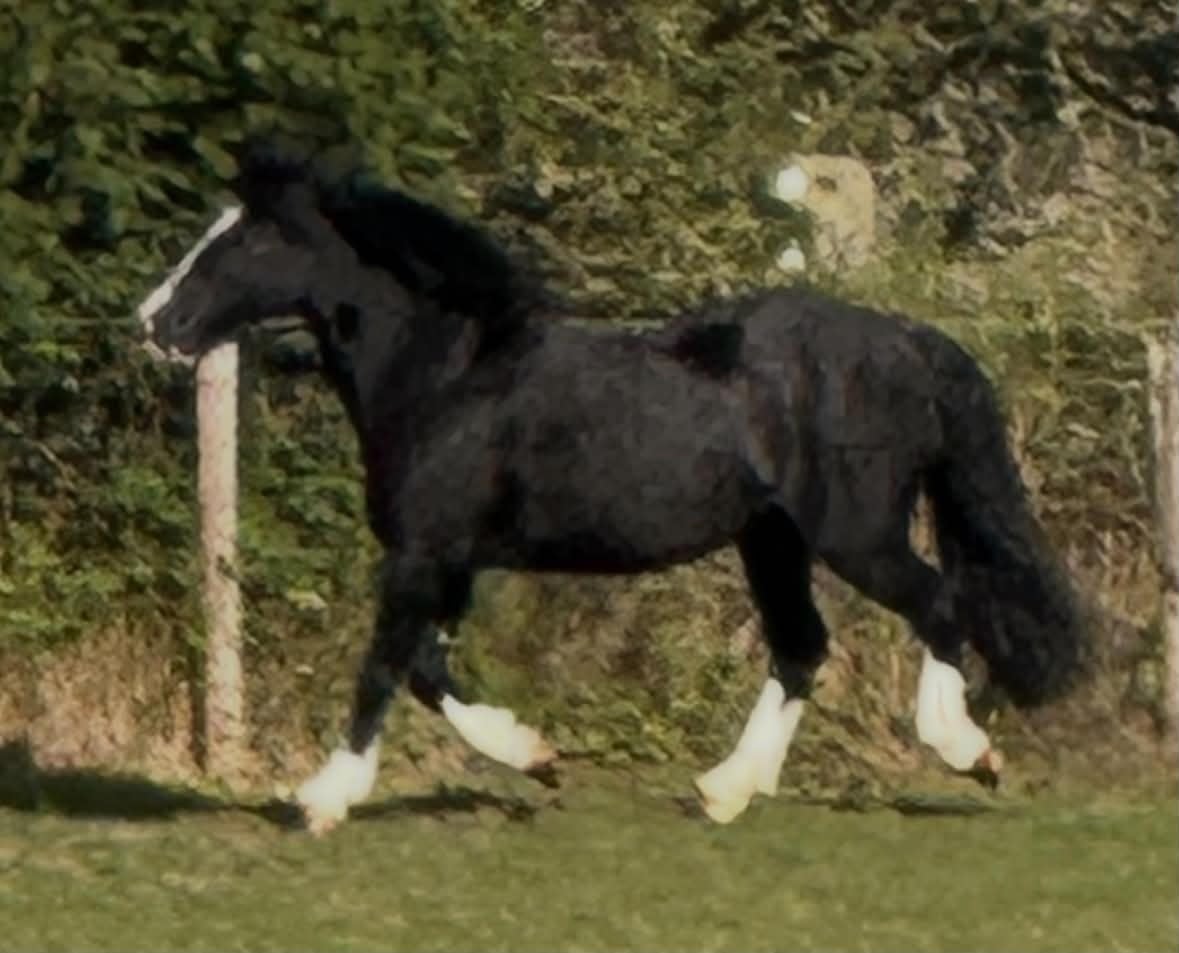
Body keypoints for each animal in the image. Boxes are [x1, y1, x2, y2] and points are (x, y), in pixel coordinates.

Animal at [138, 141, 1087, 833]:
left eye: (245, 239)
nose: (152, 322)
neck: (448, 373)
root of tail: (905, 341)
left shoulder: (422, 553)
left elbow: (384, 667)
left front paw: (322, 798)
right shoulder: (451, 561)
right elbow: (429, 671)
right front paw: (537, 755)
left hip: (854, 531)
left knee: (938, 604)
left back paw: (964, 749)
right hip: (770, 538)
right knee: (802, 647)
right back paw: (723, 790)